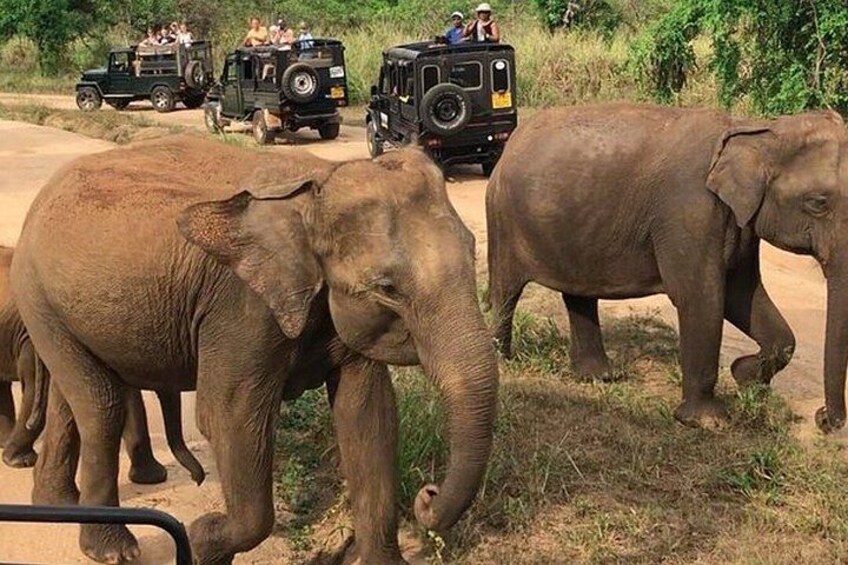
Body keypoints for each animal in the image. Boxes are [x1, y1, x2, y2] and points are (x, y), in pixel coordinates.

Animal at [486, 103, 847, 430]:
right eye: (818, 203)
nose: (824, 420)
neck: (755, 129)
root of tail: (508, 147)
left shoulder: (740, 224)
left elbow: (743, 296)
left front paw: (744, 377)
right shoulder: (690, 213)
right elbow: (701, 298)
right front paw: (709, 422)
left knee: (579, 294)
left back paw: (601, 376)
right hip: (503, 218)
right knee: (506, 291)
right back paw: (503, 360)